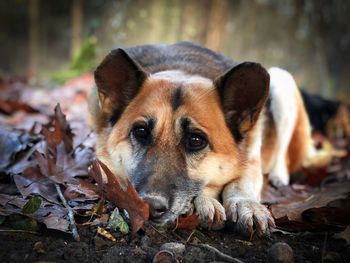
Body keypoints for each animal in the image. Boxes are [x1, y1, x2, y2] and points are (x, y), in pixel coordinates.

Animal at [89, 42, 338, 236]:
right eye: (140, 132)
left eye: (195, 140)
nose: (149, 206)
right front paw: (205, 201)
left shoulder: (250, 159)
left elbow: (242, 181)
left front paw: (245, 204)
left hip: (281, 81)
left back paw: (278, 177)